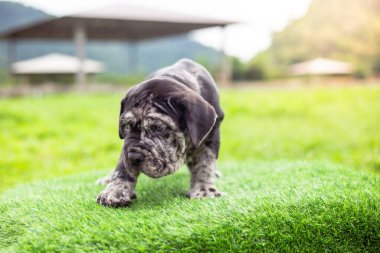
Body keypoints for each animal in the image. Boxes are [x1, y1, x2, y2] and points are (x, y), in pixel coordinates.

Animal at [96, 59, 224, 208]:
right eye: (126, 126)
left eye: (158, 128)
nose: (133, 157)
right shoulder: (127, 145)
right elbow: (121, 168)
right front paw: (115, 190)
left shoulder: (211, 136)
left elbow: (205, 162)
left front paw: (204, 190)